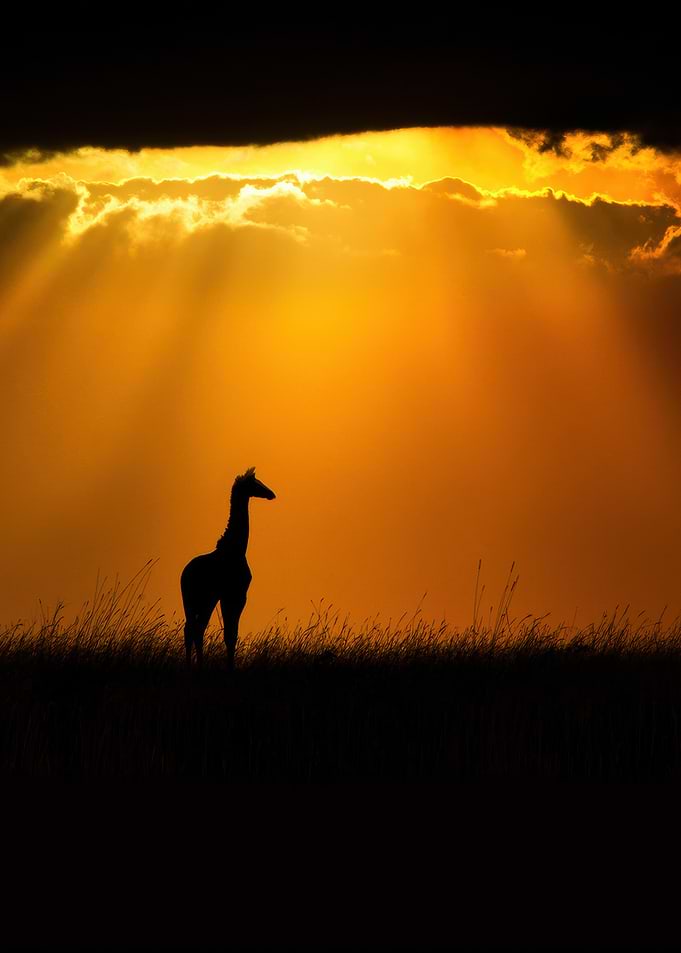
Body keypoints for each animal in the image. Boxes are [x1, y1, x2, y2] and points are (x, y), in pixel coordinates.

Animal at [180, 467, 276, 669]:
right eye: (256, 483)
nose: (272, 494)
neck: (237, 548)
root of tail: (183, 576)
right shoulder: (237, 595)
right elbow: (231, 635)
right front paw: (231, 667)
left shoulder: (226, 596)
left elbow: (230, 634)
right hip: (204, 598)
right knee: (196, 628)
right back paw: (198, 665)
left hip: (192, 600)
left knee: (191, 628)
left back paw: (192, 665)